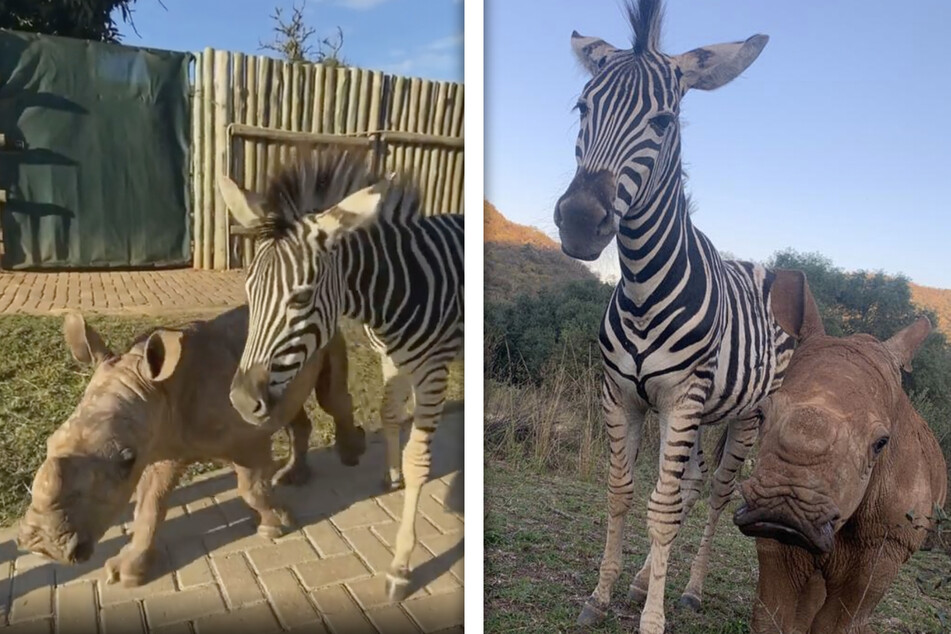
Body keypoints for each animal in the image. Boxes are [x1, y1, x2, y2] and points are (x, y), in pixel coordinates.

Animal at [16, 306, 366, 587]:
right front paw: (127, 572)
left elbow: (250, 487)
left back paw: (351, 456)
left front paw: (274, 526)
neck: (157, 388)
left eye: (125, 459)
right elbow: (149, 506)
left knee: (331, 397)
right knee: (291, 410)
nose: (44, 546)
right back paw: (294, 477)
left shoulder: (246, 437)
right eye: (50, 442)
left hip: (328, 338)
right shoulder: (160, 442)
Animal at [219, 148, 464, 601]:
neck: (395, 290)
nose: (242, 402)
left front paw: (401, 565)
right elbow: (388, 415)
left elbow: (419, 459)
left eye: (300, 298)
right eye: (248, 290)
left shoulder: (433, 369)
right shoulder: (393, 358)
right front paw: (390, 476)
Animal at [552, 2, 812, 632]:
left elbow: (663, 508)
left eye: (665, 122)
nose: (580, 221)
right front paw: (602, 595)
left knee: (714, 493)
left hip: (747, 415)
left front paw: (653, 617)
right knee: (689, 485)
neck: (645, 285)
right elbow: (623, 494)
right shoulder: (621, 395)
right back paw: (644, 579)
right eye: (581, 107)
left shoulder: (682, 398)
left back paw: (688, 590)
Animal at [732, 276, 948, 633]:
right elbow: (771, 614)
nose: (784, 508)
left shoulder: (889, 542)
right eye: (760, 415)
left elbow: (839, 621)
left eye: (881, 443)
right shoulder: (771, 532)